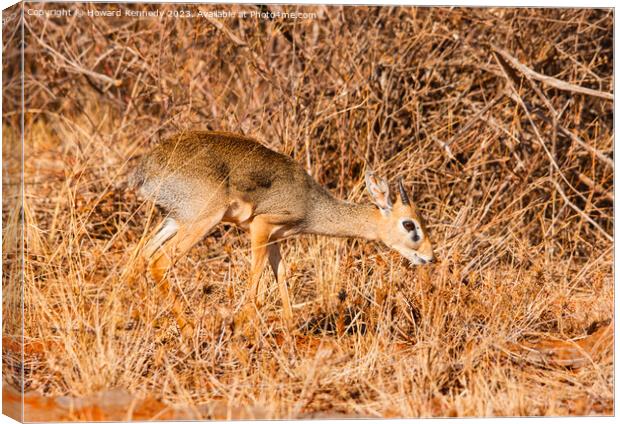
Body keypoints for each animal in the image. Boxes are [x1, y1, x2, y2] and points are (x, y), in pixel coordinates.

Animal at [133, 131, 434, 336]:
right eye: (410, 225)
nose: (429, 257)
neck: (310, 203)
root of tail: (146, 167)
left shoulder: (276, 237)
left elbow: (281, 273)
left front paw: (290, 327)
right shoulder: (261, 226)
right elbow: (256, 275)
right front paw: (243, 325)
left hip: (175, 219)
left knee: (140, 256)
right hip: (203, 220)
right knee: (159, 262)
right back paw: (188, 327)